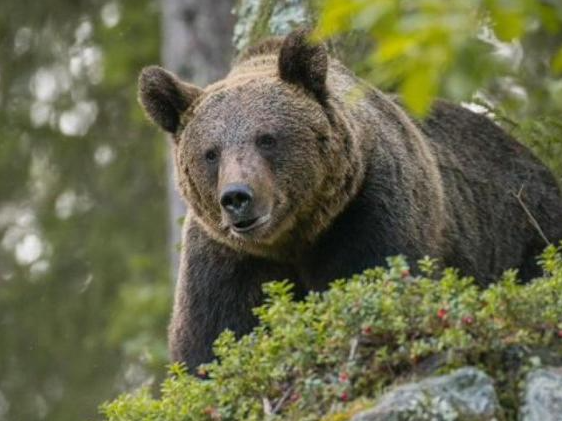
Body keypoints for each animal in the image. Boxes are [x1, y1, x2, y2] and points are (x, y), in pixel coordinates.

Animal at [138, 28, 560, 368]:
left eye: (267, 138)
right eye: (210, 153)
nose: (237, 197)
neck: (295, 237)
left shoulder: (371, 210)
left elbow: (374, 282)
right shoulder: (226, 257)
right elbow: (212, 340)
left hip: (525, 224)